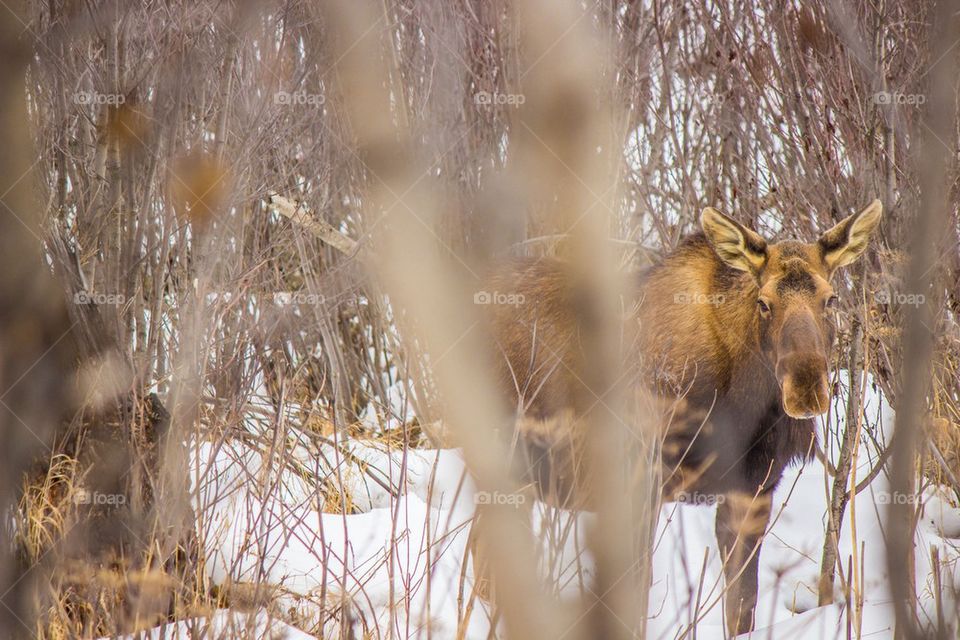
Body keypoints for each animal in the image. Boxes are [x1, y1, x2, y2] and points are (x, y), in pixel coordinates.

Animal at [483, 199, 883, 635]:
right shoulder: (639, 481)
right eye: (763, 302)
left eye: (830, 299)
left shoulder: (753, 490)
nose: (806, 388)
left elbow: (742, 607)